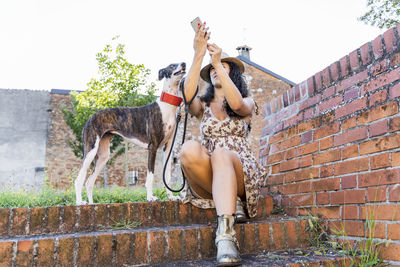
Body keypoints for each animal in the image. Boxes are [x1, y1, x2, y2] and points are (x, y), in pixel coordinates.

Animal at [74, 62, 187, 205]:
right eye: (172, 66)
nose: (184, 63)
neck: (166, 107)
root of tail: (90, 118)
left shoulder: (168, 148)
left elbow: (166, 175)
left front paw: (171, 197)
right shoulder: (153, 147)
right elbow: (150, 176)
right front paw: (150, 198)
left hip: (103, 155)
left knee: (89, 182)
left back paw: (91, 204)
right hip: (91, 149)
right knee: (79, 179)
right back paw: (79, 203)